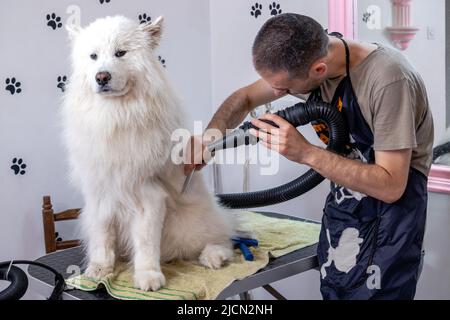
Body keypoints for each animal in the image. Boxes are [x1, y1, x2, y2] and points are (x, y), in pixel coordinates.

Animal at [62, 16, 237, 292]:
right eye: (93, 56)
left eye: (120, 53)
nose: (102, 76)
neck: (116, 117)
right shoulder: (100, 194)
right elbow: (102, 238)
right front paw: (99, 270)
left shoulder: (147, 196)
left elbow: (145, 244)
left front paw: (148, 277)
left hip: (191, 225)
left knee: (226, 238)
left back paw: (214, 256)